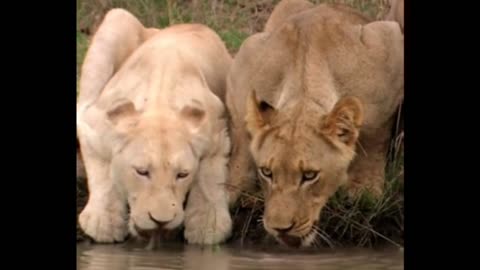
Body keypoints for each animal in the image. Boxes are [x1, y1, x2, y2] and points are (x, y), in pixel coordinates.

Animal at [76, 8, 232, 245]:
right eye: (142, 172)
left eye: (183, 174)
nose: (160, 221)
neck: (160, 102)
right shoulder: (94, 124)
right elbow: (102, 174)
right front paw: (104, 224)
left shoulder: (215, 128)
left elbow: (211, 176)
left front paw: (207, 226)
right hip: (117, 19)